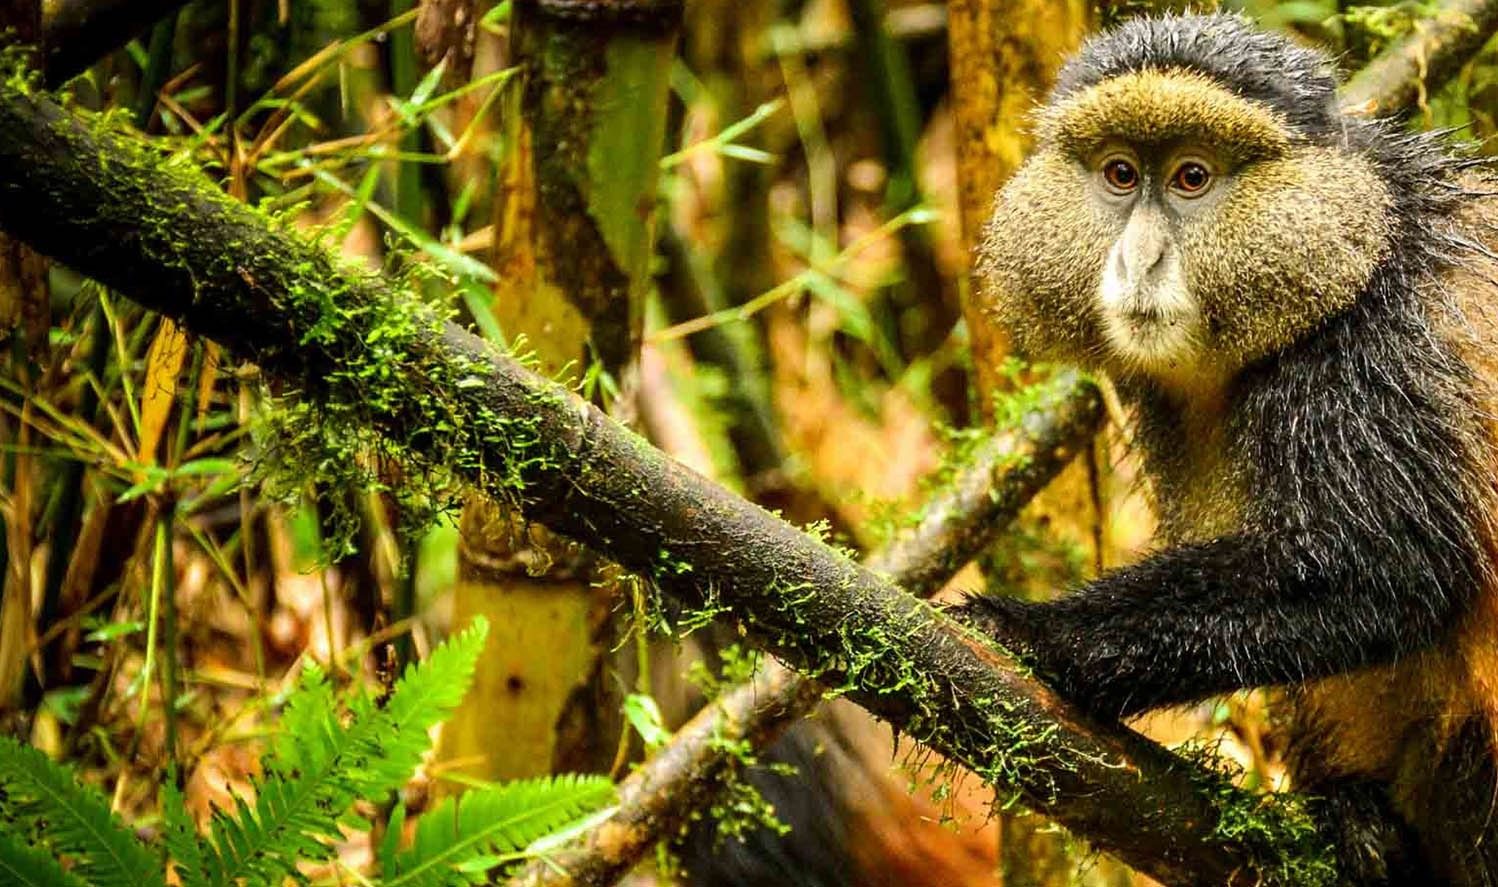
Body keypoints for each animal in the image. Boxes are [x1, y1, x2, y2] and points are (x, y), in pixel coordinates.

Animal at [961, 13, 1498, 885]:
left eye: (1191, 178)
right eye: (1120, 174)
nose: (1138, 259)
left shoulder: (1378, 351)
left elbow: (1388, 566)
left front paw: (1030, 633)